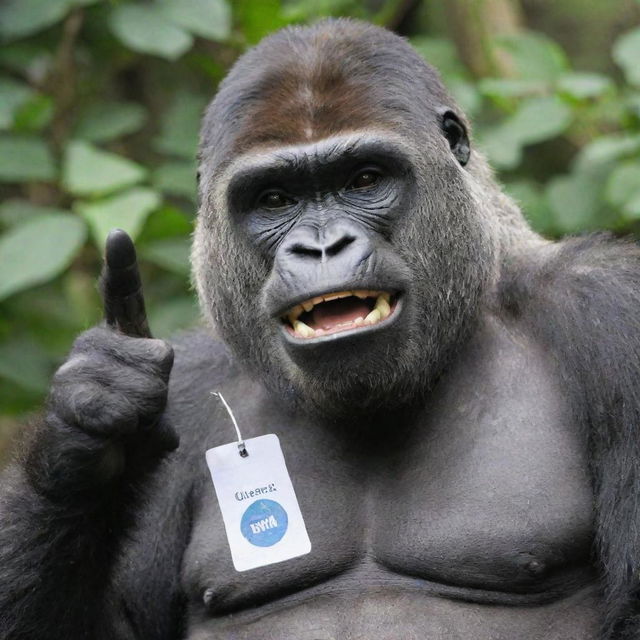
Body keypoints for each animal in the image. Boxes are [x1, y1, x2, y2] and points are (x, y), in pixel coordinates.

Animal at [1, 17, 640, 640]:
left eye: (364, 180)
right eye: (274, 198)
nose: (322, 247)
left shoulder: (613, 310)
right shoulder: (187, 386)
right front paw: (91, 430)